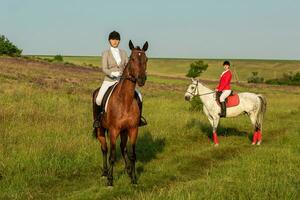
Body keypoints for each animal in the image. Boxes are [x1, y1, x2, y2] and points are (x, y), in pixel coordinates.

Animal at [91, 39, 148, 187]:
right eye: (132, 58)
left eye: (146, 59)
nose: (141, 79)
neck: (125, 101)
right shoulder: (113, 130)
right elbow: (112, 156)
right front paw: (111, 181)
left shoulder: (133, 129)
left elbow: (132, 154)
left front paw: (134, 179)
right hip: (101, 129)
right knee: (104, 149)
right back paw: (105, 173)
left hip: (124, 130)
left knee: (123, 148)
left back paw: (128, 171)